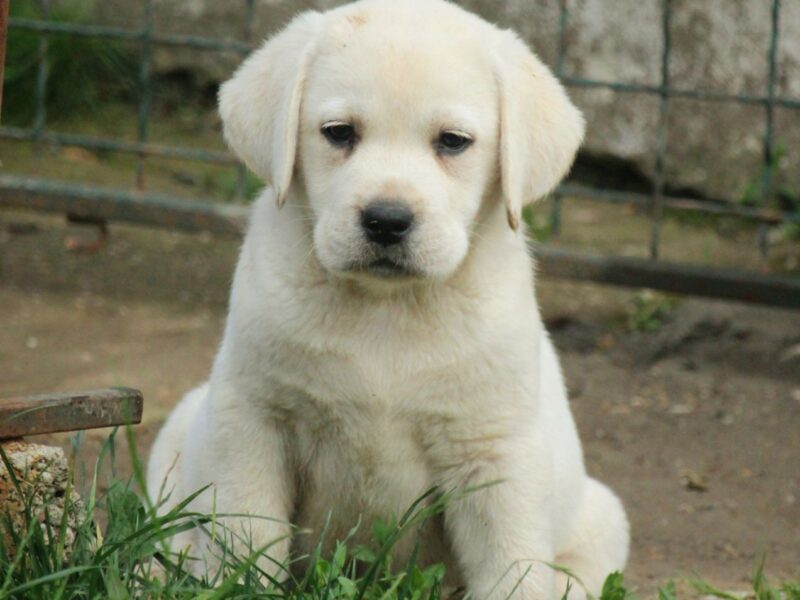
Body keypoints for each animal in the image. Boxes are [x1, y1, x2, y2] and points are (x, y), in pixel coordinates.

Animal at [147, 1, 628, 596]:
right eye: (338, 133)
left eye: (453, 141)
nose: (387, 220)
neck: (386, 308)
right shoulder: (253, 419)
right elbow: (248, 537)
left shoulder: (495, 452)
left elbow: (509, 565)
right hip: (183, 427)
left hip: (603, 515)